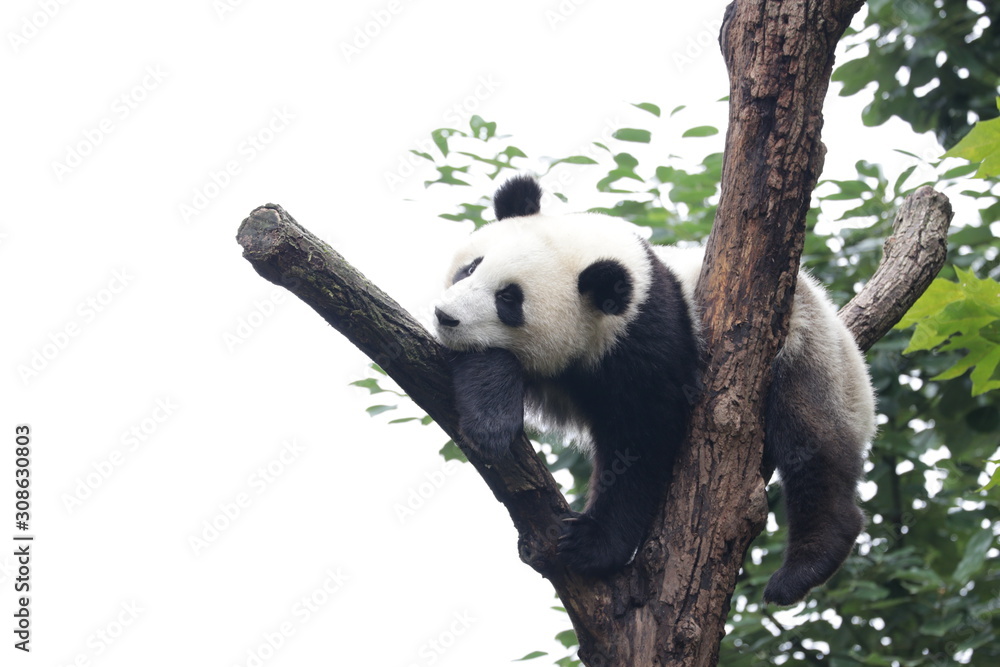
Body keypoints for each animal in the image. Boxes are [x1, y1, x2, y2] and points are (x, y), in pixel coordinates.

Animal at [433, 175, 876, 605]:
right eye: (470, 268)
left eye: (509, 299)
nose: (444, 315)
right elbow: (471, 362)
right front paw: (491, 420)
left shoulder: (651, 339)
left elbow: (642, 443)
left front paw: (592, 545)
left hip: (808, 347)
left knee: (811, 442)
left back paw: (806, 565)